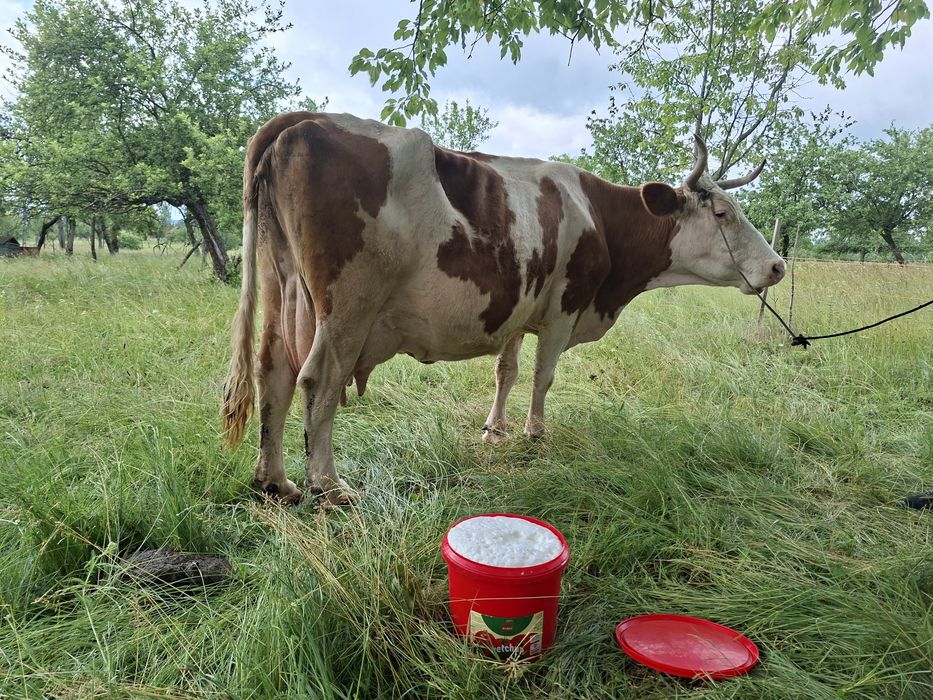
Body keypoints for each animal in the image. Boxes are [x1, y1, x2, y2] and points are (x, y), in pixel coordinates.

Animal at [222, 112, 785, 506]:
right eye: (723, 213)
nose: (777, 266)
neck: (601, 219)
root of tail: (302, 119)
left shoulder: (517, 307)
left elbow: (506, 371)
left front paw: (495, 429)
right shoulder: (564, 306)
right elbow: (542, 376)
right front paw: (536, 434)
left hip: (282, 290)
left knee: (273, 372)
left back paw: (277, 481)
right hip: (346, 307)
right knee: (318, 381)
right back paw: (329, 486)